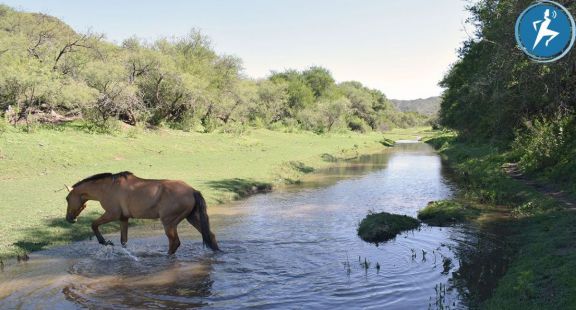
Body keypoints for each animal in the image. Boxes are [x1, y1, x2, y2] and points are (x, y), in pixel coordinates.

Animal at [64, 172, 219, 254]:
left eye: (67, 198)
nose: (69, 218)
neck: (107, 187)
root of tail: (192, 190)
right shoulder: (123, 218)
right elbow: (124, 240)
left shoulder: (112, 214)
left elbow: (94, 224)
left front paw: (105, 242)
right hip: (191, 217)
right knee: (210, 235)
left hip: (169, 222)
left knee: (174, 242)